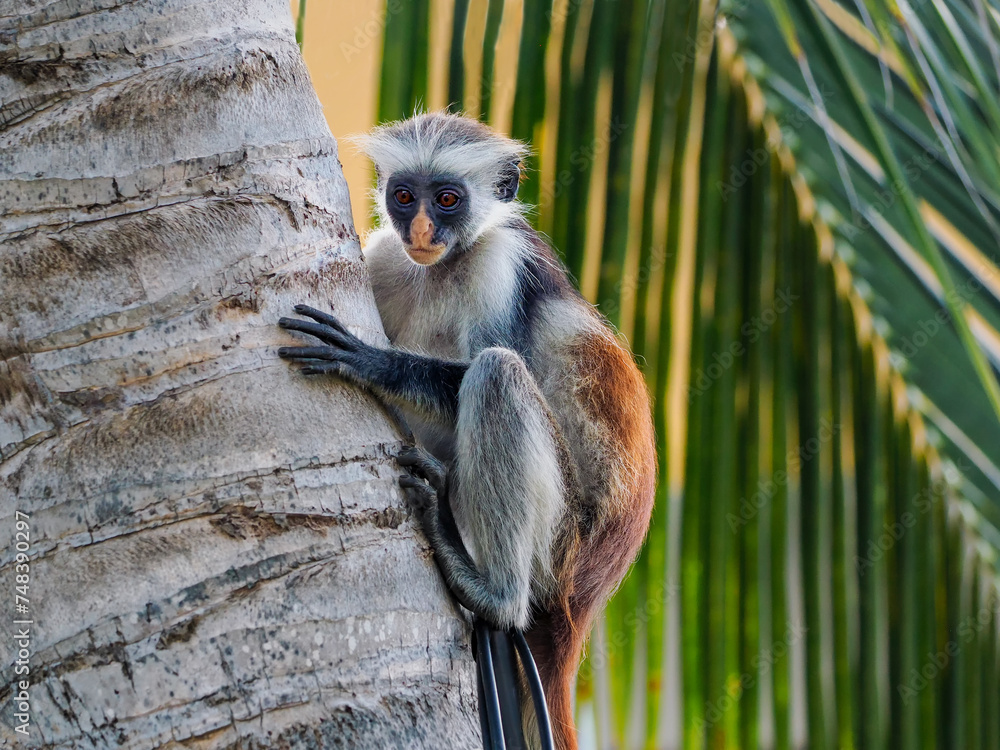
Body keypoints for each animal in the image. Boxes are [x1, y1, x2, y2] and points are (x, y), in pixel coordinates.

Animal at [278, 112, 656, 750]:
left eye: (448, 200)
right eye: (405, 196)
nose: (422, 227)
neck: (445, 267)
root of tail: (580, 601)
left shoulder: (500, 263)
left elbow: (485, 364)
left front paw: (374, 363)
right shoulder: (390, 254)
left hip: (559, 543)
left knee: (497, 372)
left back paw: (493, 595)